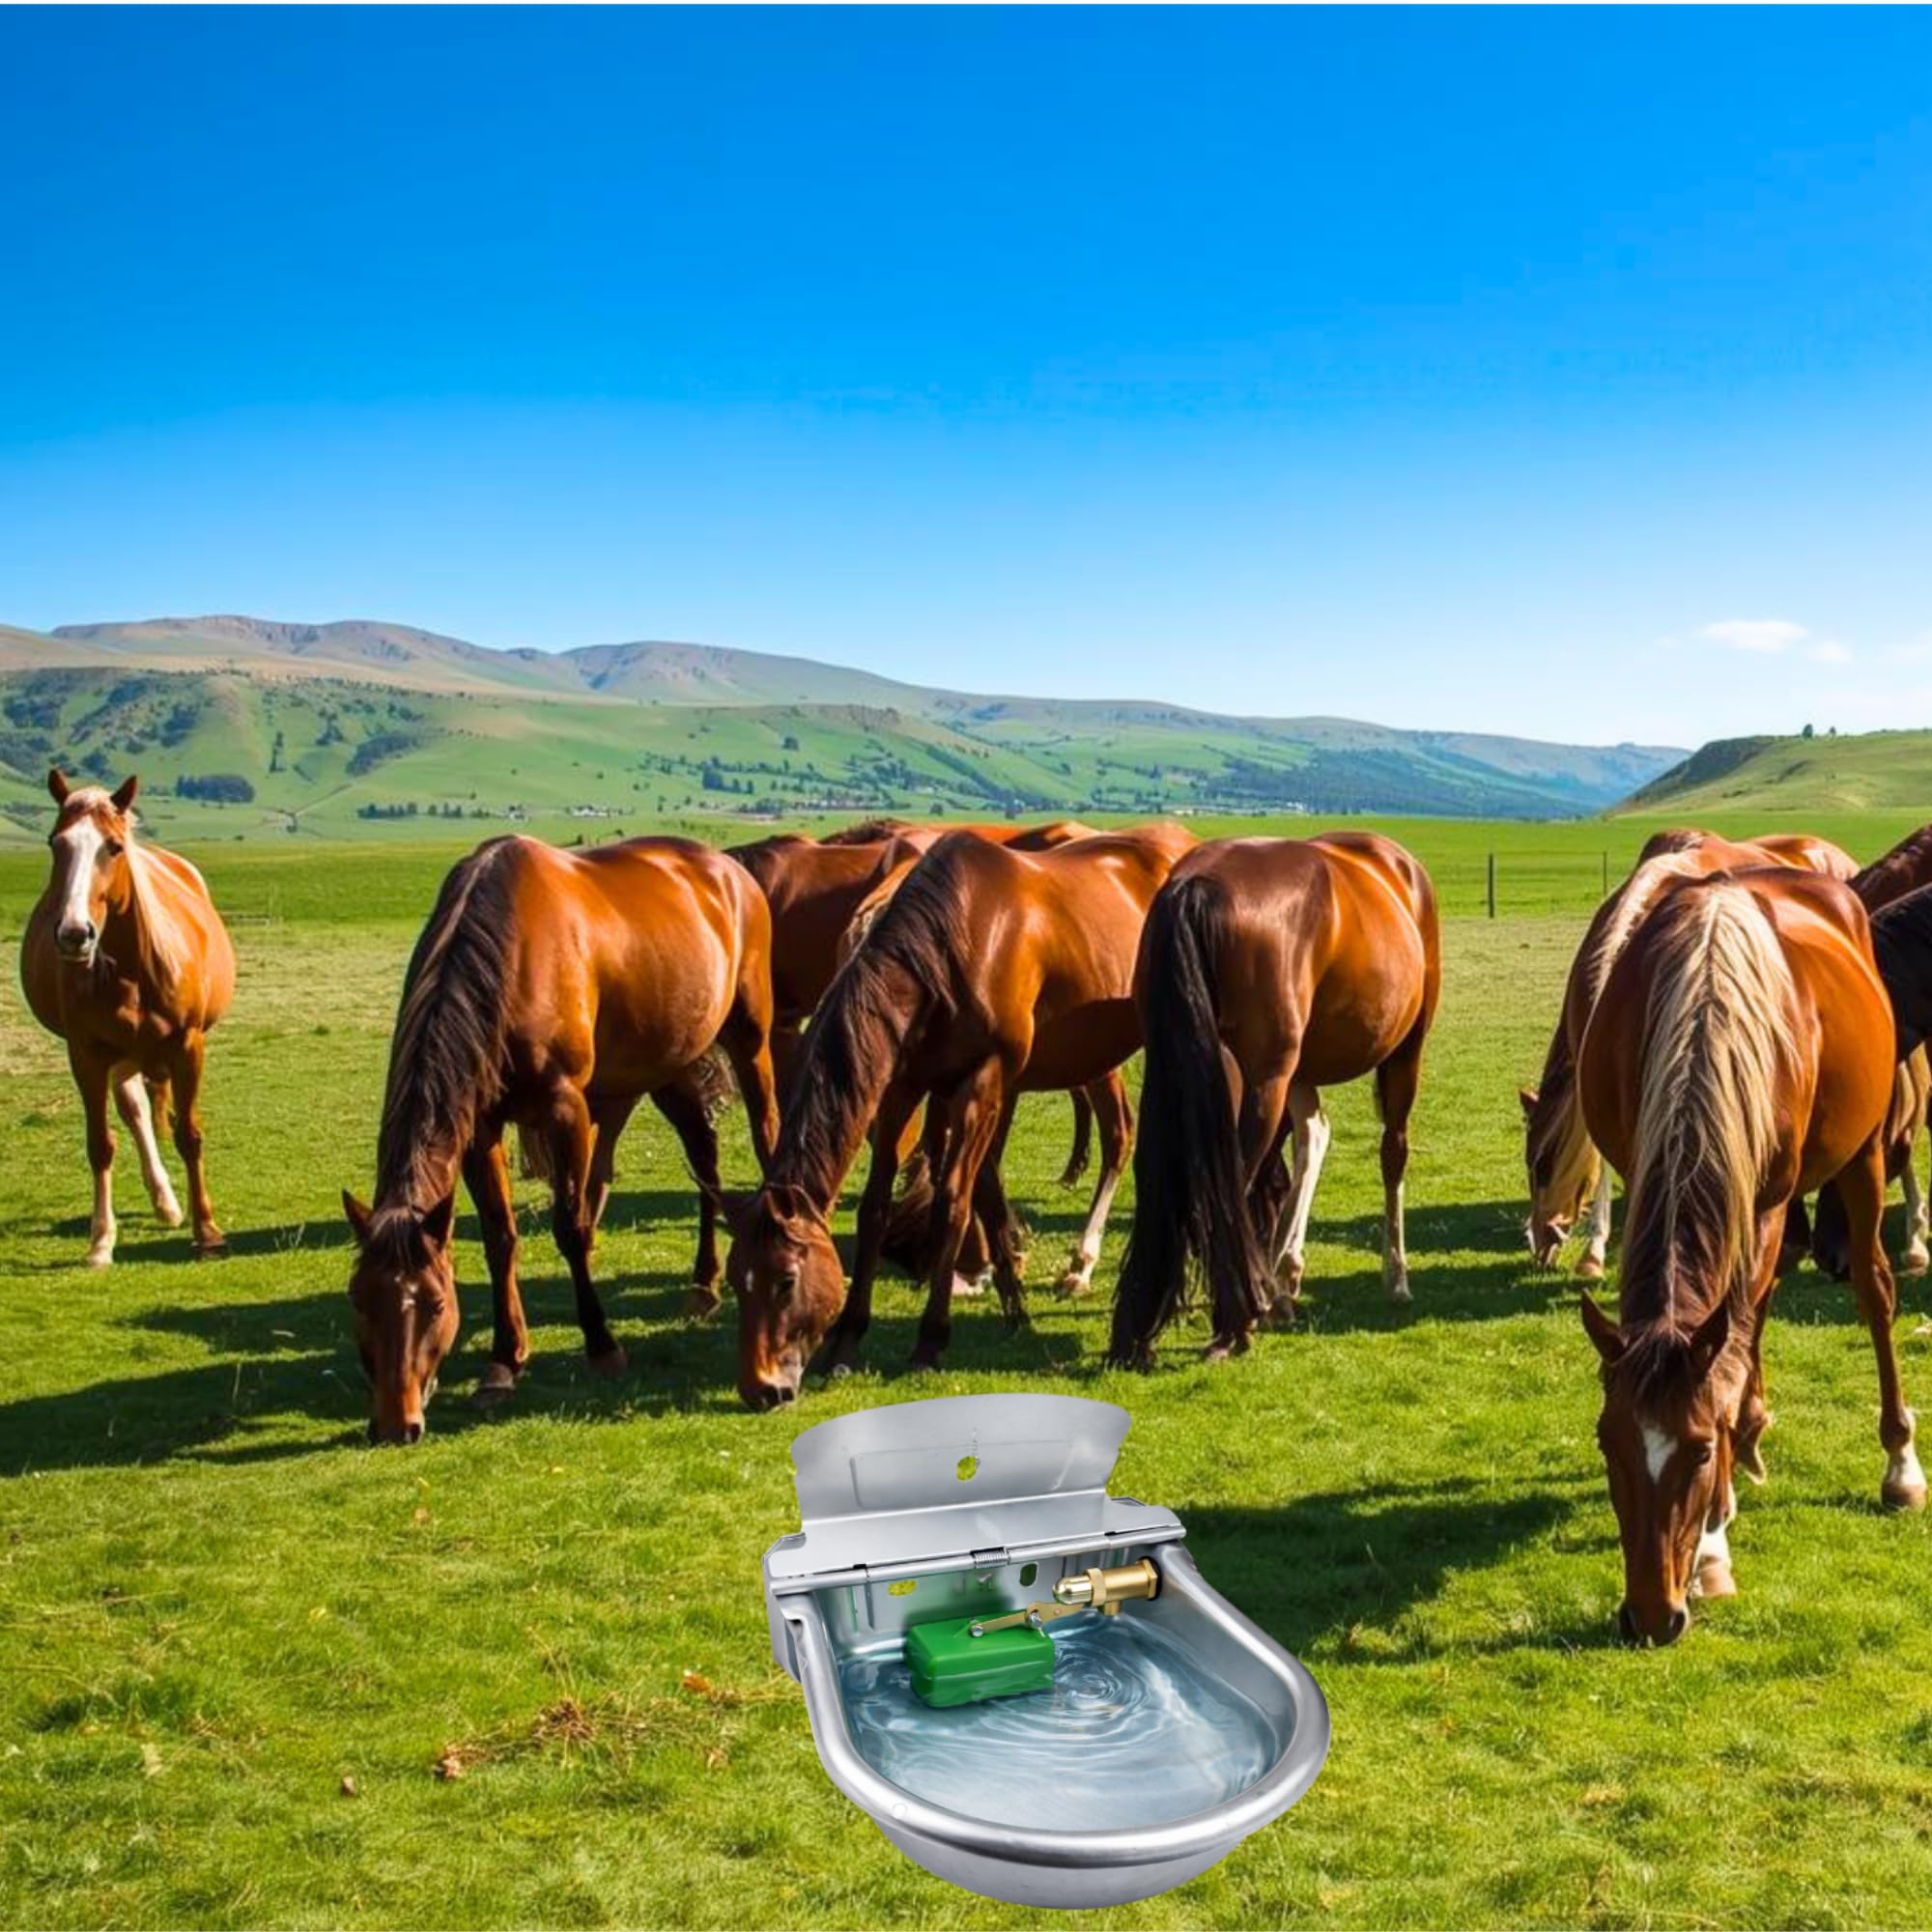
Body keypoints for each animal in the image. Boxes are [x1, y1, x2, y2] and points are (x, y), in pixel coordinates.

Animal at [20, 772, 236, 1265]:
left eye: (113, 847)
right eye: (55, 843)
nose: (75, 934)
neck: (135, 970)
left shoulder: (188, 1046)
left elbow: (189, 1134)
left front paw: (207, 1230)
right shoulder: (86, 1054)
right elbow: (101, 1145)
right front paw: (101, 1241)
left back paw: (171, 1205)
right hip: (119, 1057)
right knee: (135, 1112)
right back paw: (164, 1200)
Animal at [343, 834, 780, 1443]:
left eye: (434, 1304)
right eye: (359, 1301)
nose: (394, 1422)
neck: (506, 954)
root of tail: (728, 868)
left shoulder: (565, 1107)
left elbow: (570, 1228)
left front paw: (601, 1345)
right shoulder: (481, 1124)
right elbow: (500, 1237)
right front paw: (504, 1361)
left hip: (748, 1038)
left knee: (766, 1132)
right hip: (667, 1062)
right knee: (703, 1152)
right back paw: (703, 1284)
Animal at [720, 823, 1195, 1408]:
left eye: (787, 1280)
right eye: (736, 1277)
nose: (761, 1388)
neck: (955, 945)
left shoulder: (981, 1084)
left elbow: (953, 1202)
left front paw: (931, 1340)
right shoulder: (907, 1086)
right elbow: (880, 1206)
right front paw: (850, 1340)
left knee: (1126, 1140)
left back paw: (1088, 1267)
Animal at [1574, 866, 1918, 1646]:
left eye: (1700, 1449)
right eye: (1608, 1444)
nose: (1650, 1617)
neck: (1703, 1007)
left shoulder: (1765, 1201)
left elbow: (1736, 1341)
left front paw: (1711, 1546)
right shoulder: (1641, 1163)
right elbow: (1734, 1336)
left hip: (1862, 1154)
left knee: (1870, 1291)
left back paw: (1898, 1462)